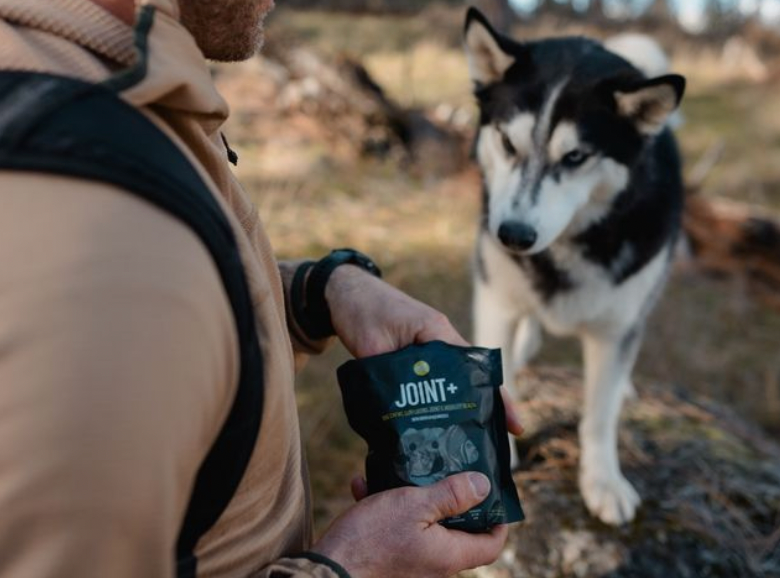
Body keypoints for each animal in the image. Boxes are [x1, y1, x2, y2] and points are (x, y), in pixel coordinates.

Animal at [464, 6, 684, 524]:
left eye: (576, 156)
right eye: (507, 143)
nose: (513, 235)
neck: (564, 248)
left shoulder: (617, 326)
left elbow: (599, 417)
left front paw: (602, 480)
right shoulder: (495, 298)